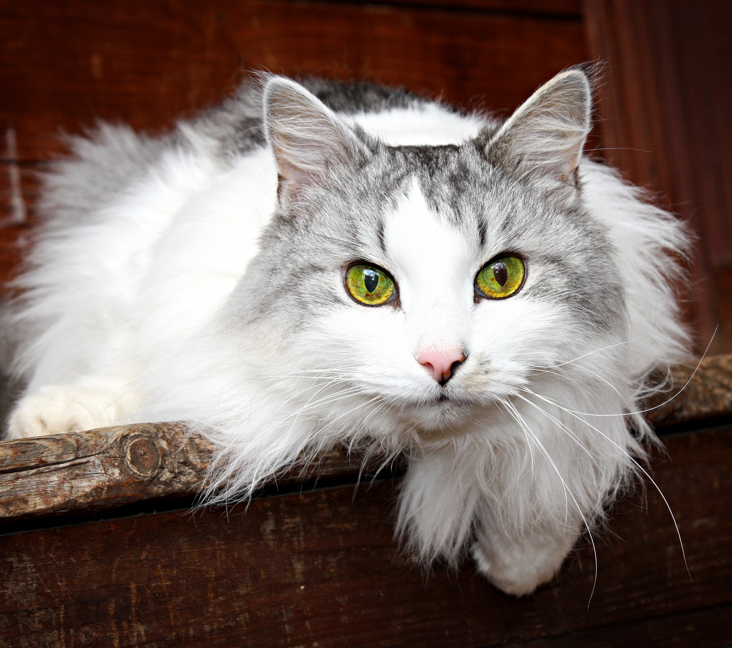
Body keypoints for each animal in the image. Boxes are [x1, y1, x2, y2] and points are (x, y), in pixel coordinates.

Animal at [2, 68, 688, 596]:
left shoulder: (610, 374)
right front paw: (58, 414)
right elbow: (143, 359)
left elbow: (554, 469)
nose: (442, 363)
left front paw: (519, 566)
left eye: (501, 277)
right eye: (369, 284)